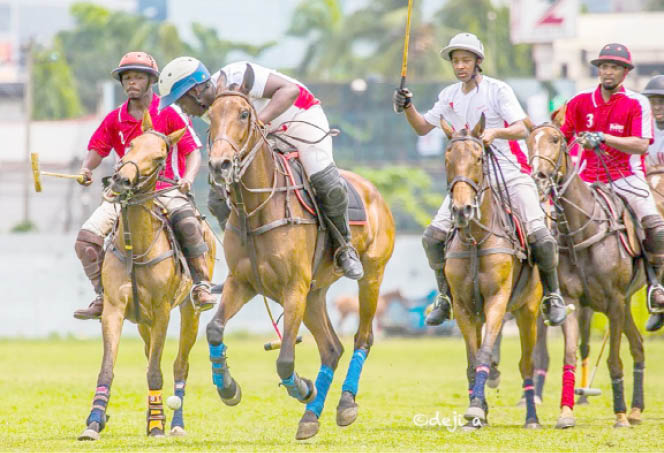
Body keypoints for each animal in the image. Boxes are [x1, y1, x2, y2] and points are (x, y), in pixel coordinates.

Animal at [79, 111, 215, 440]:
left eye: (160, 157)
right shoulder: (115, 309)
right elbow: (108, 367)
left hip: (189, 311)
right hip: (143, 322)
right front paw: (94, 421)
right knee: (150, 351)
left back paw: (175, 423)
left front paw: (156, 424)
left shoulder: (162, 310)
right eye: (131, 145)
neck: (136, 246)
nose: (120, 180)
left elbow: (156, 370)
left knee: (179, 365)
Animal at [202, 90, 394, 440]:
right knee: (331, 348)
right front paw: (228, 388)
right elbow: (214, 329)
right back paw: (310, 418)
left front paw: (303, 388)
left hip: (371, 276)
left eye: (244, 115)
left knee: (363, 337)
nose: (220, 164)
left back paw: (345, 404)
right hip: (315, 293)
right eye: (210, 115)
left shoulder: (293, 288)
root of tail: (372, 189)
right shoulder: (242, 282)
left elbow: (285, 359)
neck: (257, 210)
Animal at [444, 115, 544, 428]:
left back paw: (531, 417)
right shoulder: (464, 307)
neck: (476, 239)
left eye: (479, 158)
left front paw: (476, 407)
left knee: (527, 363)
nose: (462, 210)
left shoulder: (498, 299)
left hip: (528, 309)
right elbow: (473, 358)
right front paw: (477, 409)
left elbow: (486, 352)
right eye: (447, 159)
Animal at [524, 107, 644, 428]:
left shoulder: (614, 301)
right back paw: (636, 409)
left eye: (555, 139)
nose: (539, 177)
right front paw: (566, 412)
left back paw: (630, 411)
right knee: (638, 345)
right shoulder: (573, 302)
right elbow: (569, 356)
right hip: (627, 301)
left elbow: (613, 359)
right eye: (529, 141)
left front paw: (619, 415)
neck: (580, 230)